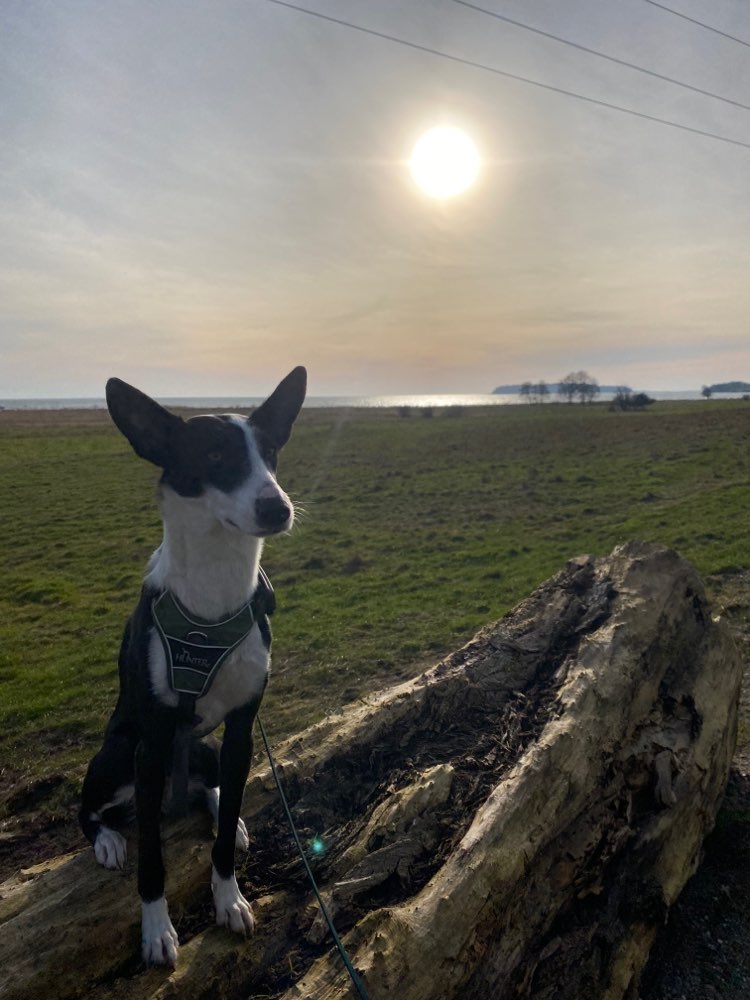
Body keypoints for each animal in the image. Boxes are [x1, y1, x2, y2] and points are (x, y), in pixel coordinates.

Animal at [79, 370, 306, 968]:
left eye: (270, 454)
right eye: (214, 455)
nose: (277, 508)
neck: (213, 596)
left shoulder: (241, 730)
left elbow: (222, 840)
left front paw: (229, 898)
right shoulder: (154, 743)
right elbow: (152, 860)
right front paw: (156, 929)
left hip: (204, 747)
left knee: (211, 788)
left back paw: (223, 804)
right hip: (118, 754)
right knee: (90, 809)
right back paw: (108, 839)